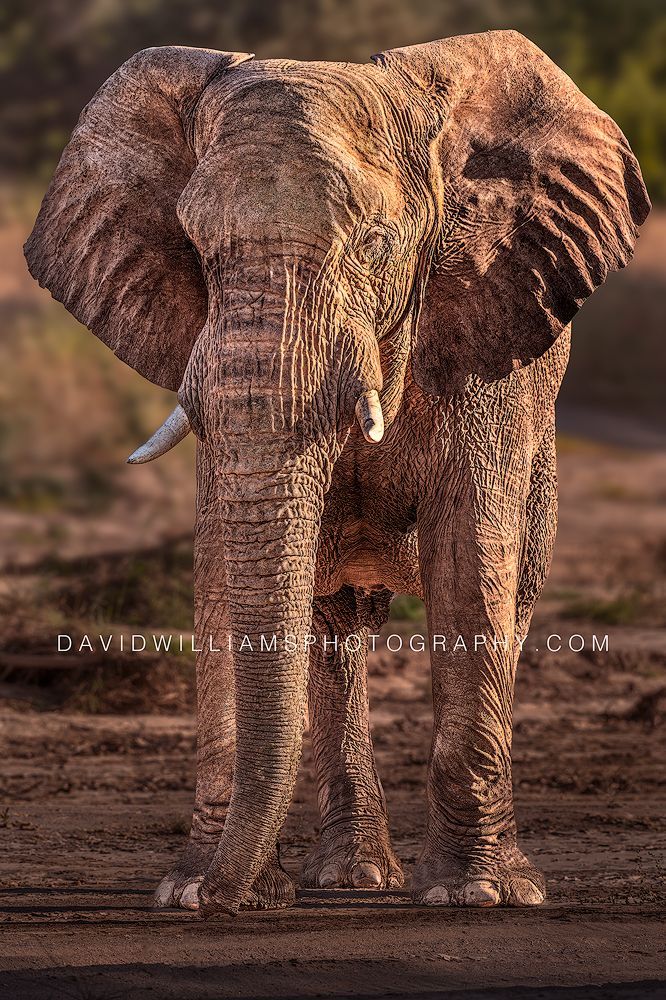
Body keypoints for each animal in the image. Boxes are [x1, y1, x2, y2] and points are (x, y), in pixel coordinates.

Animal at [25, 30, 650, 918]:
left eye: (378, 245)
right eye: (197, 250)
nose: (226, 902)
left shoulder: (484, 331)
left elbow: (470, 555)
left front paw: (474, 895)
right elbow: (219, 563)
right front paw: (194, 890)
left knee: (510, 592)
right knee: (336, 626)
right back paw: (352, 877)